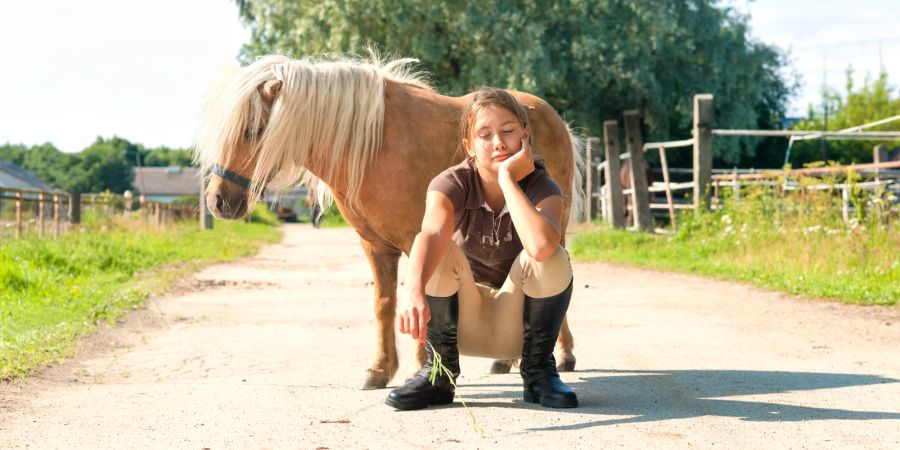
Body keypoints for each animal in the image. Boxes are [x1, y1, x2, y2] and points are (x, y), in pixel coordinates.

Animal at [193, 53, 580, 390]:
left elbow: (419, 299)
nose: (218, 201)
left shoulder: (415, 238)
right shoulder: (375, 246)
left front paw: (419, 368)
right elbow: (384, 305)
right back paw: (506, 360)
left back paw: (564, 354)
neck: (372, 145)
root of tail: (552, 116)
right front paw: (379, 370)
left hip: (555, 229)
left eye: (252, 130)